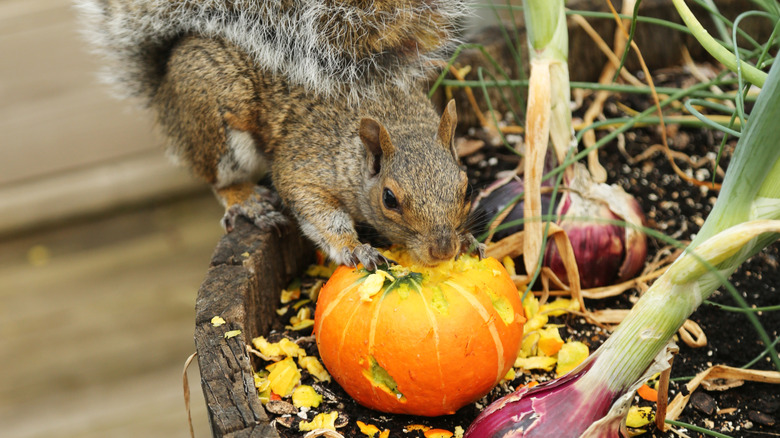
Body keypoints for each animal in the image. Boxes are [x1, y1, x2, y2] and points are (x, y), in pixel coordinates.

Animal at [75, 0, 483, 269]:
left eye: (467, 189)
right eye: (389, 199)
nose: (443, 250)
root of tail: (164, 90)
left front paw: (468, 239)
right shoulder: (304, 166)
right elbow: (316, 211)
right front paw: (354, 248)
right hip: (217, 119)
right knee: (218, 179)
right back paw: (247, 200)